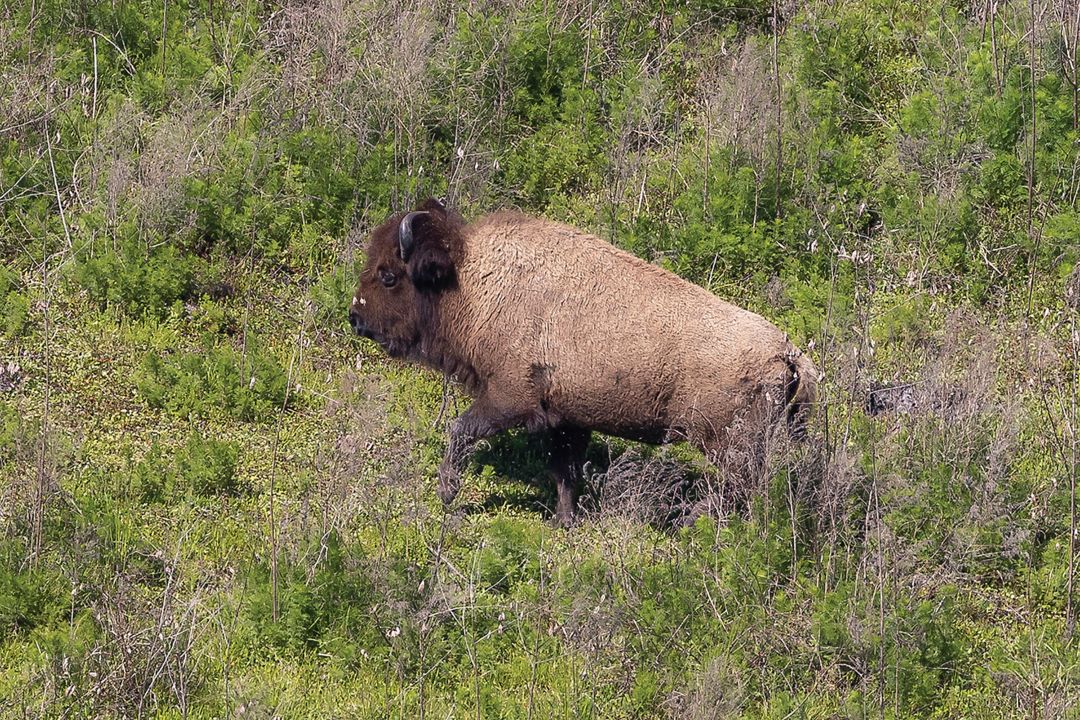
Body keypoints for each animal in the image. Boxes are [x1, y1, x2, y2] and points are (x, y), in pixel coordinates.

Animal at [349, 199, 812, 526]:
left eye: (389, 275)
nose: (355, 317)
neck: (470, 279)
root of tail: (787, 353)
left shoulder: (510, 400)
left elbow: (460, 429)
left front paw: (447, 491)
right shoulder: (565, 418)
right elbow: (565, 472)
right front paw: (565, 520)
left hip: (726, 444)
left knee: (740, 488)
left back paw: (692, 522)